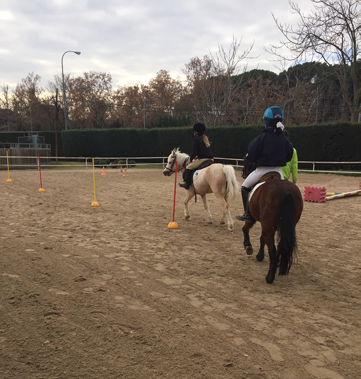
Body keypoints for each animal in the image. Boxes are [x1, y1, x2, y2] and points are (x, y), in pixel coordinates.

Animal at [240, 156, 302, 284]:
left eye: (246, 161)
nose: (242, 173)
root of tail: (286, 191)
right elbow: (261, 239)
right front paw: (260, 255)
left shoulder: (252, 218)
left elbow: (245, 229)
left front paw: (248, 246)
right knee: (280, 246)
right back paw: (276, 265)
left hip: (267, 225)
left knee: (272, 248)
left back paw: (269, 277)